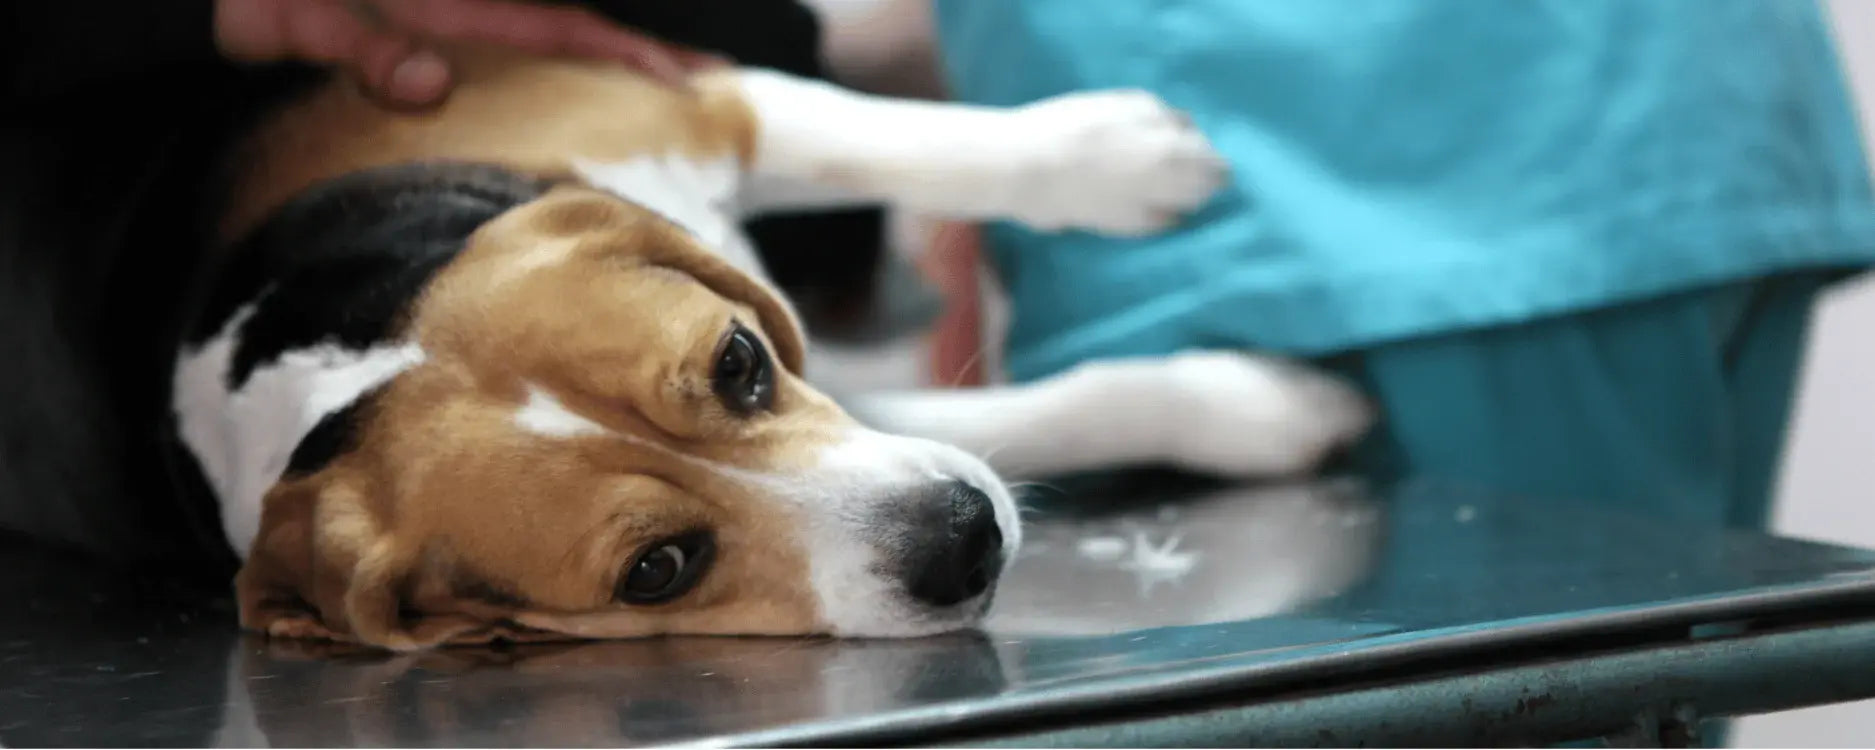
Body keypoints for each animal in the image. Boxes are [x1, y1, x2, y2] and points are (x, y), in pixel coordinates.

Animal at [172, 49, 1380, 652]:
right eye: (657, 572)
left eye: (740, 363)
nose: (965, 542)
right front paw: (1270, 407)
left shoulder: (680, 104)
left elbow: (891, 141)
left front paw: (1113, 158)